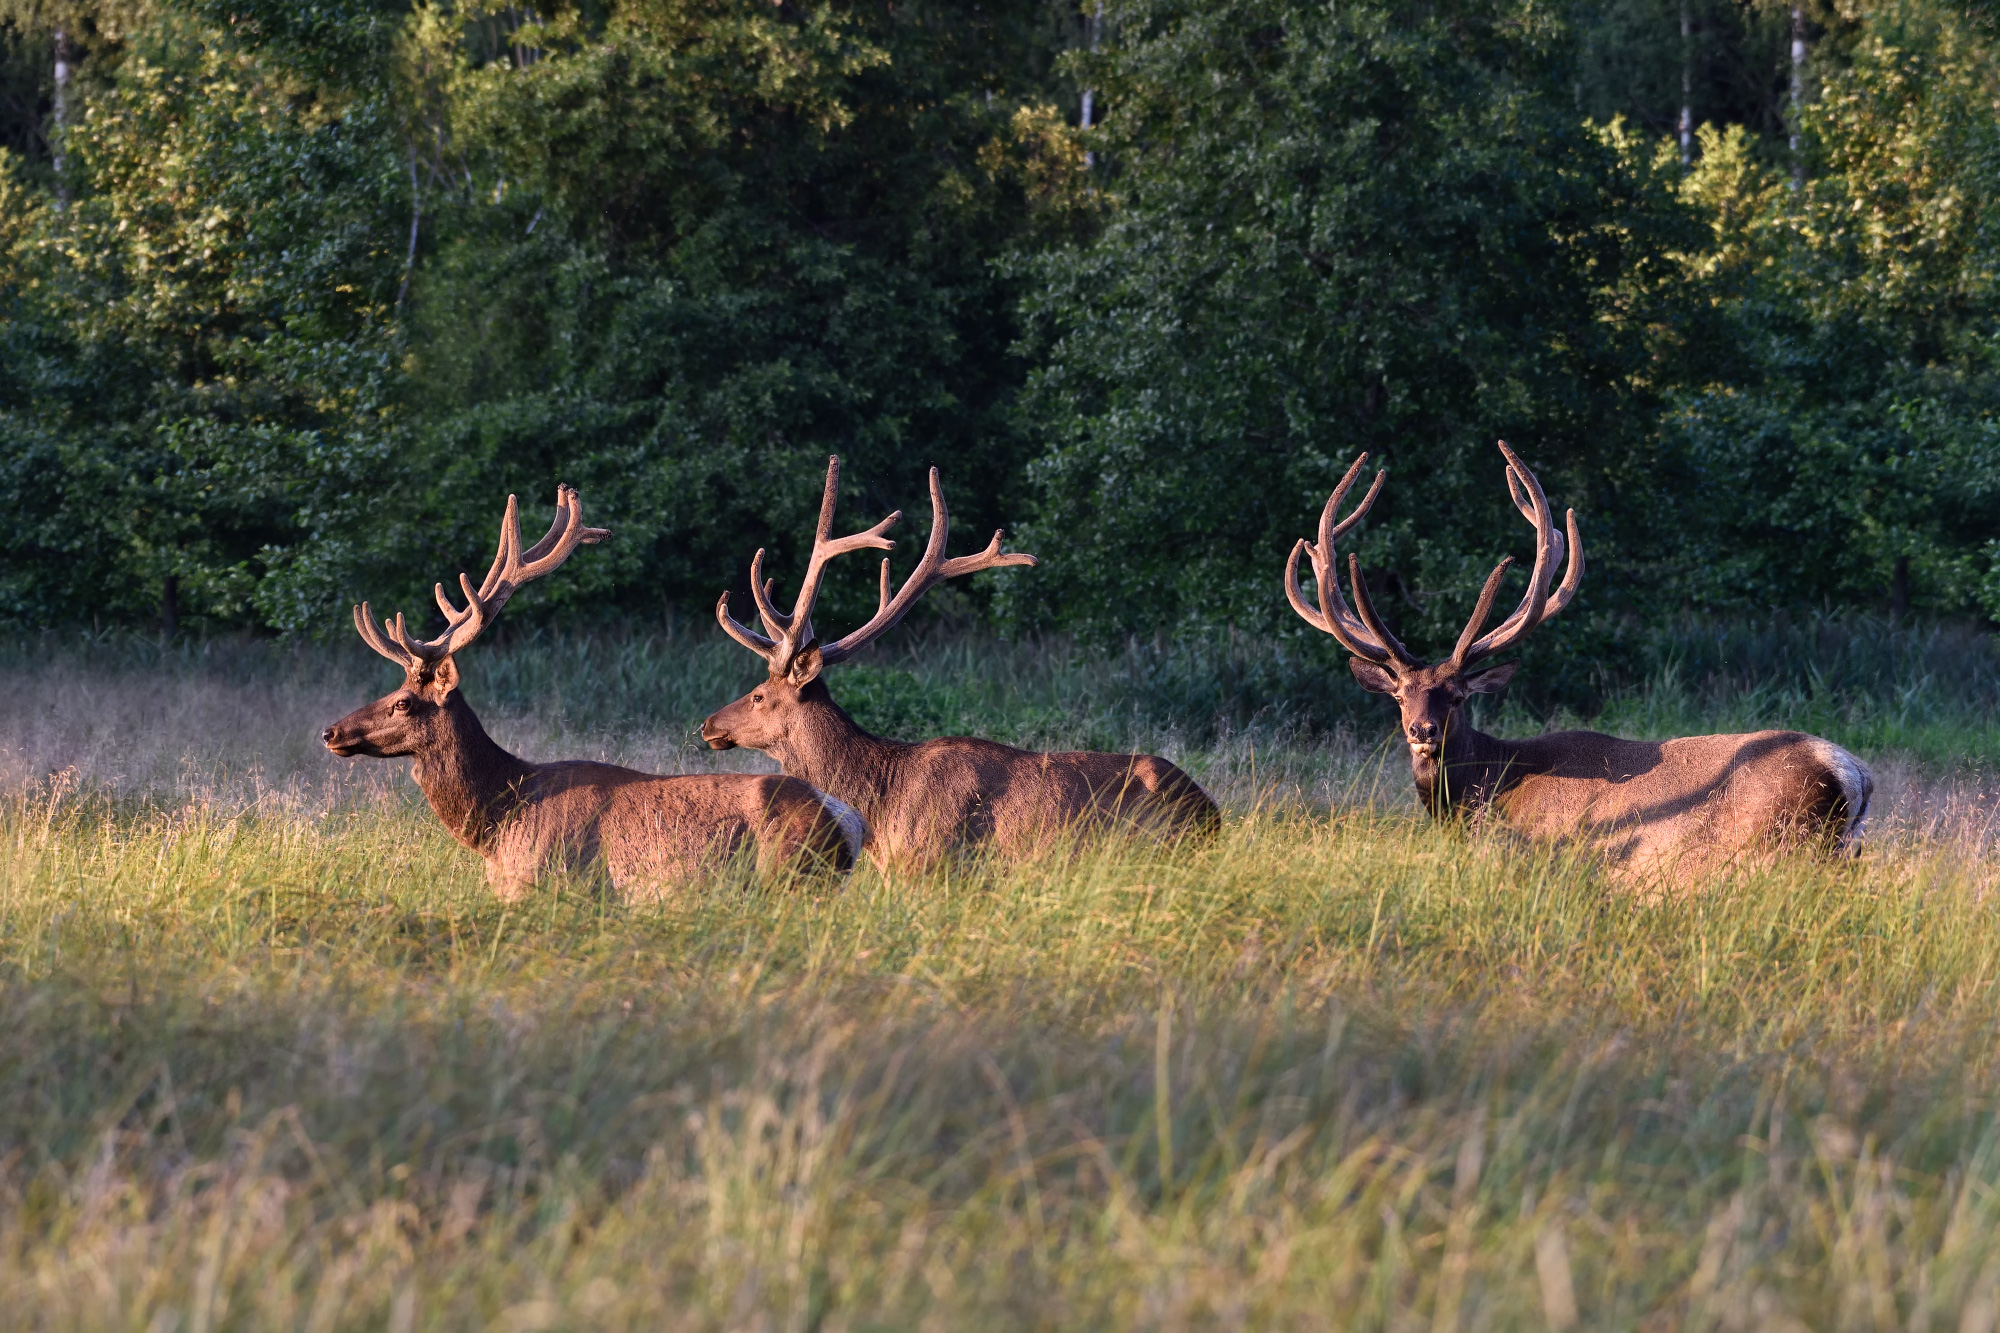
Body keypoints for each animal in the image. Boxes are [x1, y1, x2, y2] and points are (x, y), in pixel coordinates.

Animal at [324, 482, 864, 896]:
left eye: (402, 702)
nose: (331, 732)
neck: (499, 822)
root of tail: (852, 823)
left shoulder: (545, 881)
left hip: (791, 876)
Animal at [1288, 436, 1864, 872]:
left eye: (1456, 696)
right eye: (1399, 696)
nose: (1422, 730)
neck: (1487, 789)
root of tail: (1851, 775)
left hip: (1771, 845)